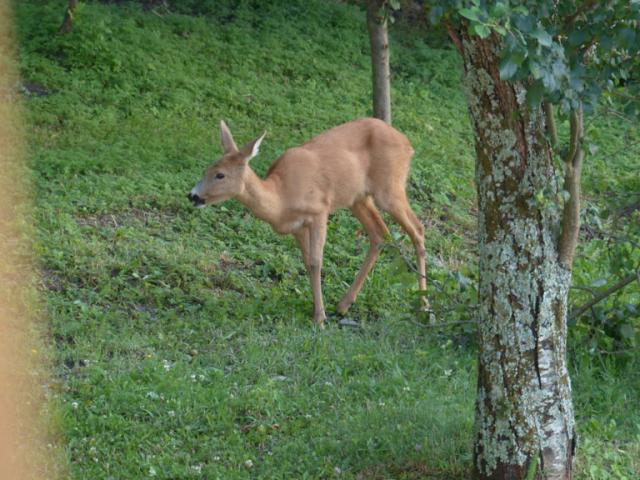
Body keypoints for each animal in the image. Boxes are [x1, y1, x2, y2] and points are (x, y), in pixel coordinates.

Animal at [188, 118, 428, 326]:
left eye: (220, 175)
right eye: (206, 169)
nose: (192, 196)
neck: (281, 198)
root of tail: (408, 144)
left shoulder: (319, 210)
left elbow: (315, 262)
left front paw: (319, 318)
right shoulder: (297, 227)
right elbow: (306, 262)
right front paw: (317, 310)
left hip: (389, 187)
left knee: (417, 229)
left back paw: (424, 306)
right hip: (358, 198)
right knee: (380, 234)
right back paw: (344, 305)